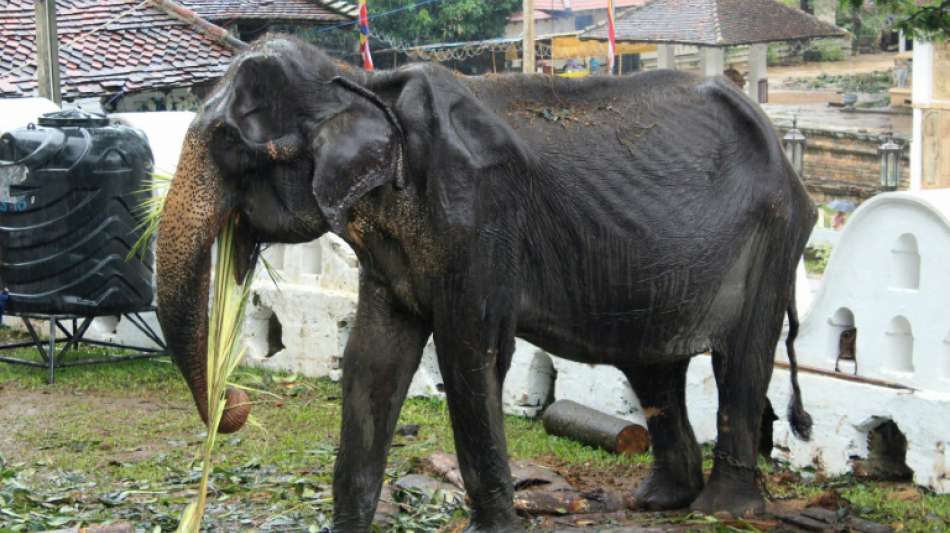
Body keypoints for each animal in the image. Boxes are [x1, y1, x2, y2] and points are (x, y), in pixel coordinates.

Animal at [156, 35, 820, 528]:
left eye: (227, 144)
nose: (236, 402)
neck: (363, 84)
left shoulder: (478, 218)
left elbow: (470, 355)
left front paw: (491, 528)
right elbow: (372, 359)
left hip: (773, 240)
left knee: (741, 361)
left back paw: (724, 511)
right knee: (653, 366)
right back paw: (657, 502)